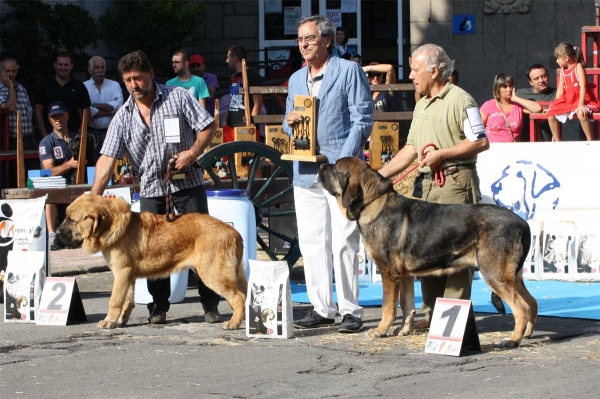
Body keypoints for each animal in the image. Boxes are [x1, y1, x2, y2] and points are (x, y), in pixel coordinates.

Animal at [57, 195, 247, 332]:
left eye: (71, 220)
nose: (56, 233)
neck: (111, 224)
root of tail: (234, 233)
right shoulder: (128, 276)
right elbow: (127, 301)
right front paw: (121, 320)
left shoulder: (122, 273)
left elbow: (115, 300)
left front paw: (109, 321)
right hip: (234, 275)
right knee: (245, 296)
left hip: (212, 274)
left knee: (238, 298)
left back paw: (233, 323)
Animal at [318, 158, 540, 348]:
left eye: (335, 168)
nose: (320, 165)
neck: (373, 202)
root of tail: (523, 223)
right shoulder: (405, 276)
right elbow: (407, 305)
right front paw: (404, 330)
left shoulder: (389, 274)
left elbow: (388, 307)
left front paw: (380, 331)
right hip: (512, 277)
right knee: (532, 302)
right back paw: (528, 334)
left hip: (495, 275)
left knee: (521, 309)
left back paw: (512, 340)